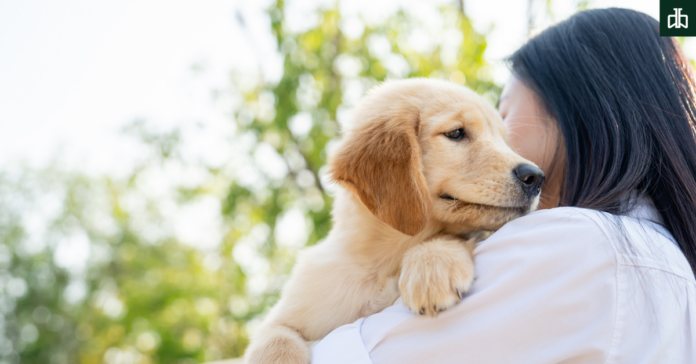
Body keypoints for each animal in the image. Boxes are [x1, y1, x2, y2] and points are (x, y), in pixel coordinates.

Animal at [245, 78, 544, 362]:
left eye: (504, 142)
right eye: (456, 133)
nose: (536, 177)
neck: (385, 261)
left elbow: (454, 233)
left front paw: (432, 265)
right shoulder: (286, 317)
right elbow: (275, 342)